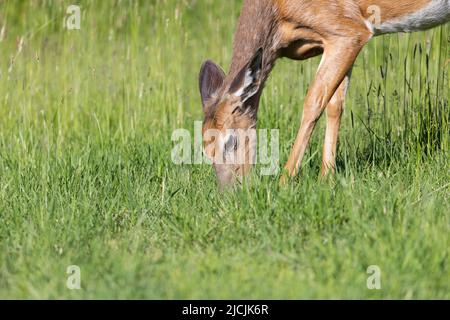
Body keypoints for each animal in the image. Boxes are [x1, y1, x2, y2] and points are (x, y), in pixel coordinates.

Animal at [200, 0, 450, 189]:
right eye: (205, 151)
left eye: (231, 141)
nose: (231, 192)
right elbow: (334, 104)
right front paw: (326, 177)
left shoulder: (347, 30)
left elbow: (313, 101)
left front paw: (284, 181)